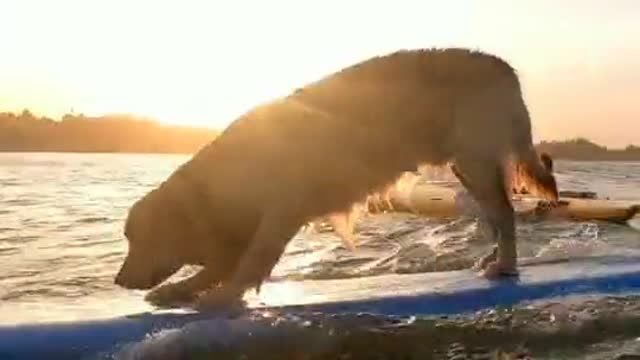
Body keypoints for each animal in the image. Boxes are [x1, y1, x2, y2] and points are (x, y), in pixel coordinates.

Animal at [116, 47, 560, 310]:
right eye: (130, 239)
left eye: (142, 238)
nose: (119, 281)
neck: (222, 180)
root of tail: (503, 66)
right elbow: (217, 264)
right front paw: (178, 290)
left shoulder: (279, 212)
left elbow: (248, 263)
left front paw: (219, 296)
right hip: (466, 168)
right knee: (497, 215)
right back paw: (492, 258)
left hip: (476, 160)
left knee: (505, 215)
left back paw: (504, 266)